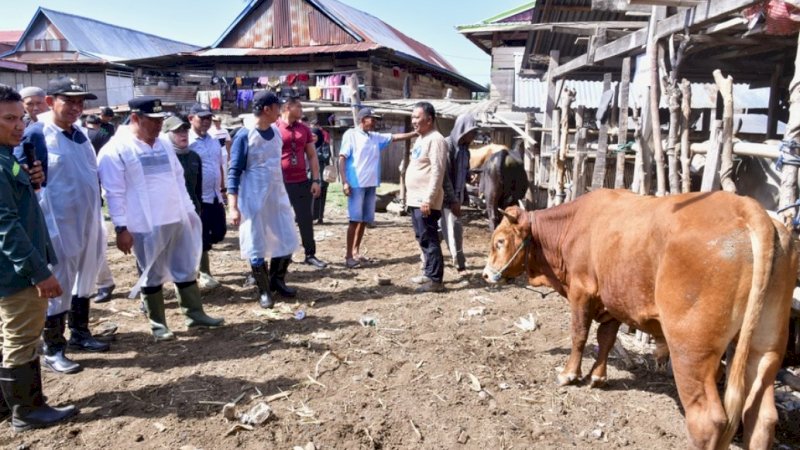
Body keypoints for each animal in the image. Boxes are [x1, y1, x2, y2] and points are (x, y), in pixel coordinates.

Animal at [478, 188, 796, 448]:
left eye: (500, 241)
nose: (484, 275)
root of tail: (746, 206)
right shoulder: (612, 301)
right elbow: (606, 340)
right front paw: (598, 377)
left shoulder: (582, 291)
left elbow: (579, 334)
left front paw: (569, 374)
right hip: (764, 347)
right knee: (762, 417)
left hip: (691, 350)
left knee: (707, 421)